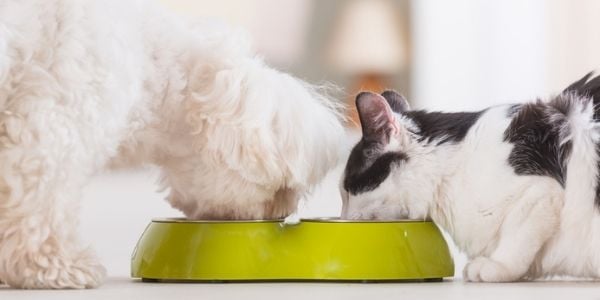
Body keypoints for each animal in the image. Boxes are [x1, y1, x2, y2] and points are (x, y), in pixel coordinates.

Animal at [0, 0, 342, 290]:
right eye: (282, 189)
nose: (282, 212)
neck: (150, 65)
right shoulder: (53, 121)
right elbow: (41, 204)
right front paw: (53, 266)